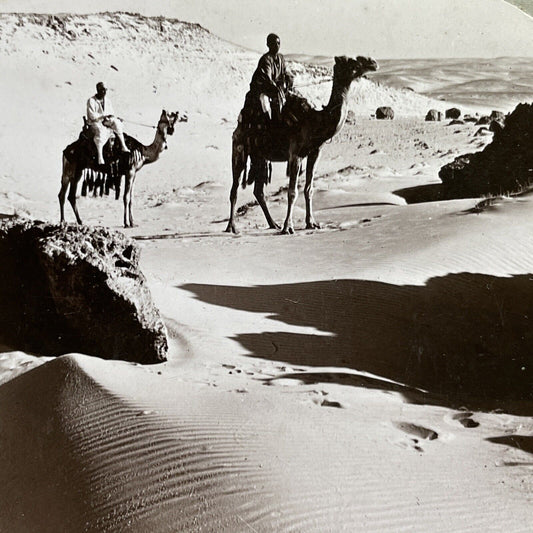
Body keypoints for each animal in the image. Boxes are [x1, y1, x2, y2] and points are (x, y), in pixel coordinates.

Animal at [224, 54, 378, 235]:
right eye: (352, 62)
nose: (373, 63)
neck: (315, 121)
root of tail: (239, 125)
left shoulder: (315, 152)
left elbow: (309, 189)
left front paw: (311, 223)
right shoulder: (295, 154)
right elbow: (292, 192)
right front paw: (288, 227)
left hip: (260, 157)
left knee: (258, 191)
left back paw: (273, 224)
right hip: (239, 149)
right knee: (234, 189)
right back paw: (232, 227)